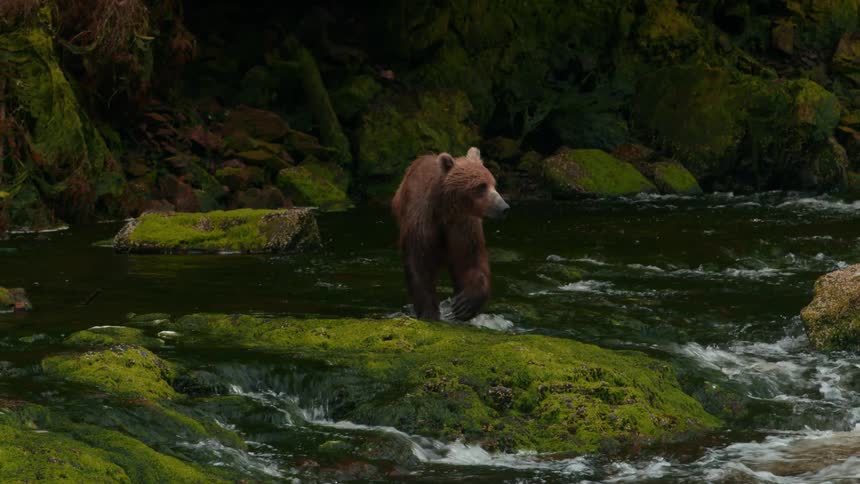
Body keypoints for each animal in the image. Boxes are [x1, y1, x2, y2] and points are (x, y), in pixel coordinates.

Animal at [392, 147, 509, 321]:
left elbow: (469, 259)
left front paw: (464, 304)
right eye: (480, 186)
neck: (445, 210)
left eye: (494, 184)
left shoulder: (463, 225)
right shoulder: (421, 220)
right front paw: (429, 312)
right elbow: (419, 262)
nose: (504, 207)